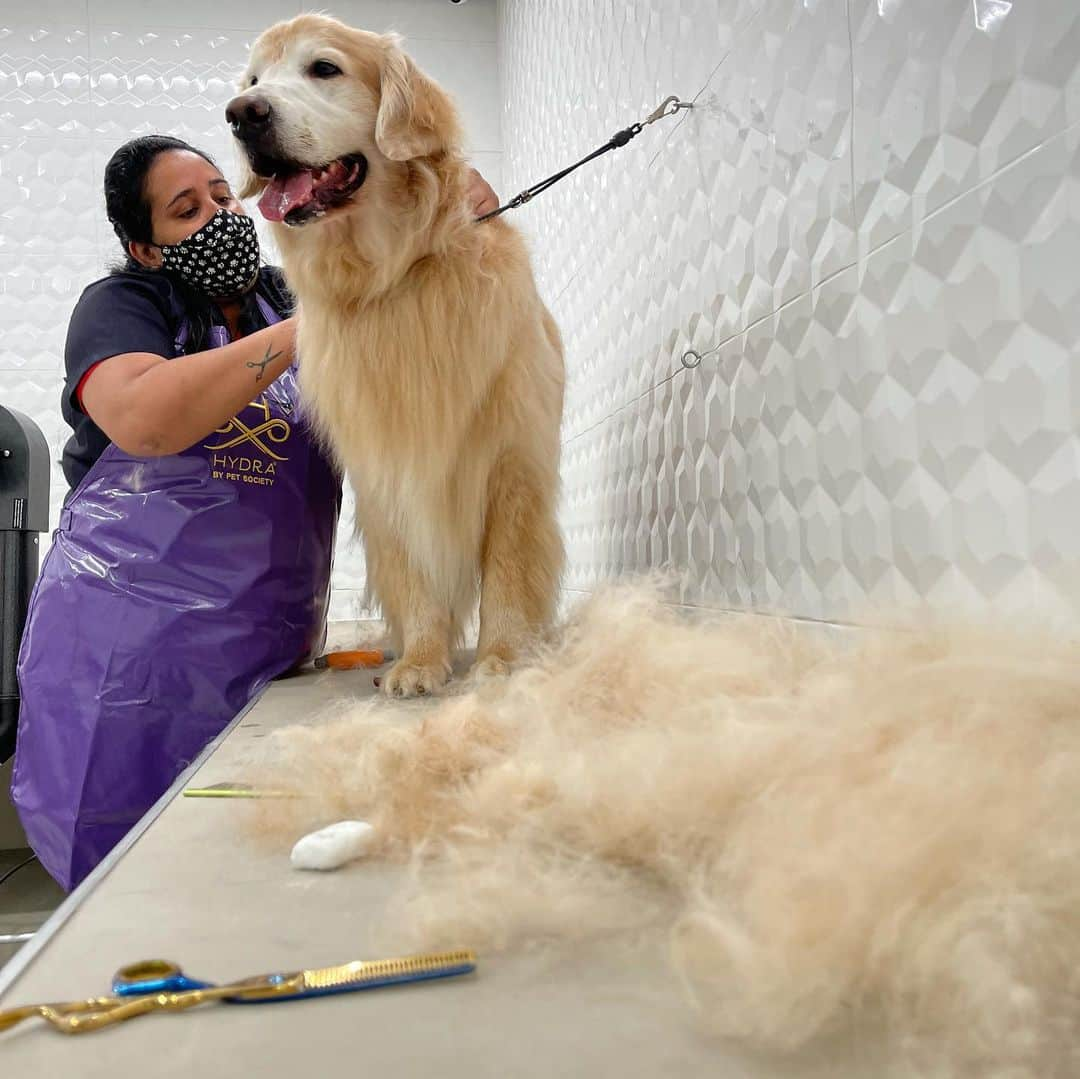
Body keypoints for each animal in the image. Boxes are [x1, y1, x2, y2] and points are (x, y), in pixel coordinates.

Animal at [226, 12, 565, 695]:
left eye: (323, 68)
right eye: (253, 80)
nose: (242, 114)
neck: (394, 276)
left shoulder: (514, 457)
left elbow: (510, 569)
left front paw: (503, 659)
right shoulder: (390, 461)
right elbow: (418, 580)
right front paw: (422, 663)